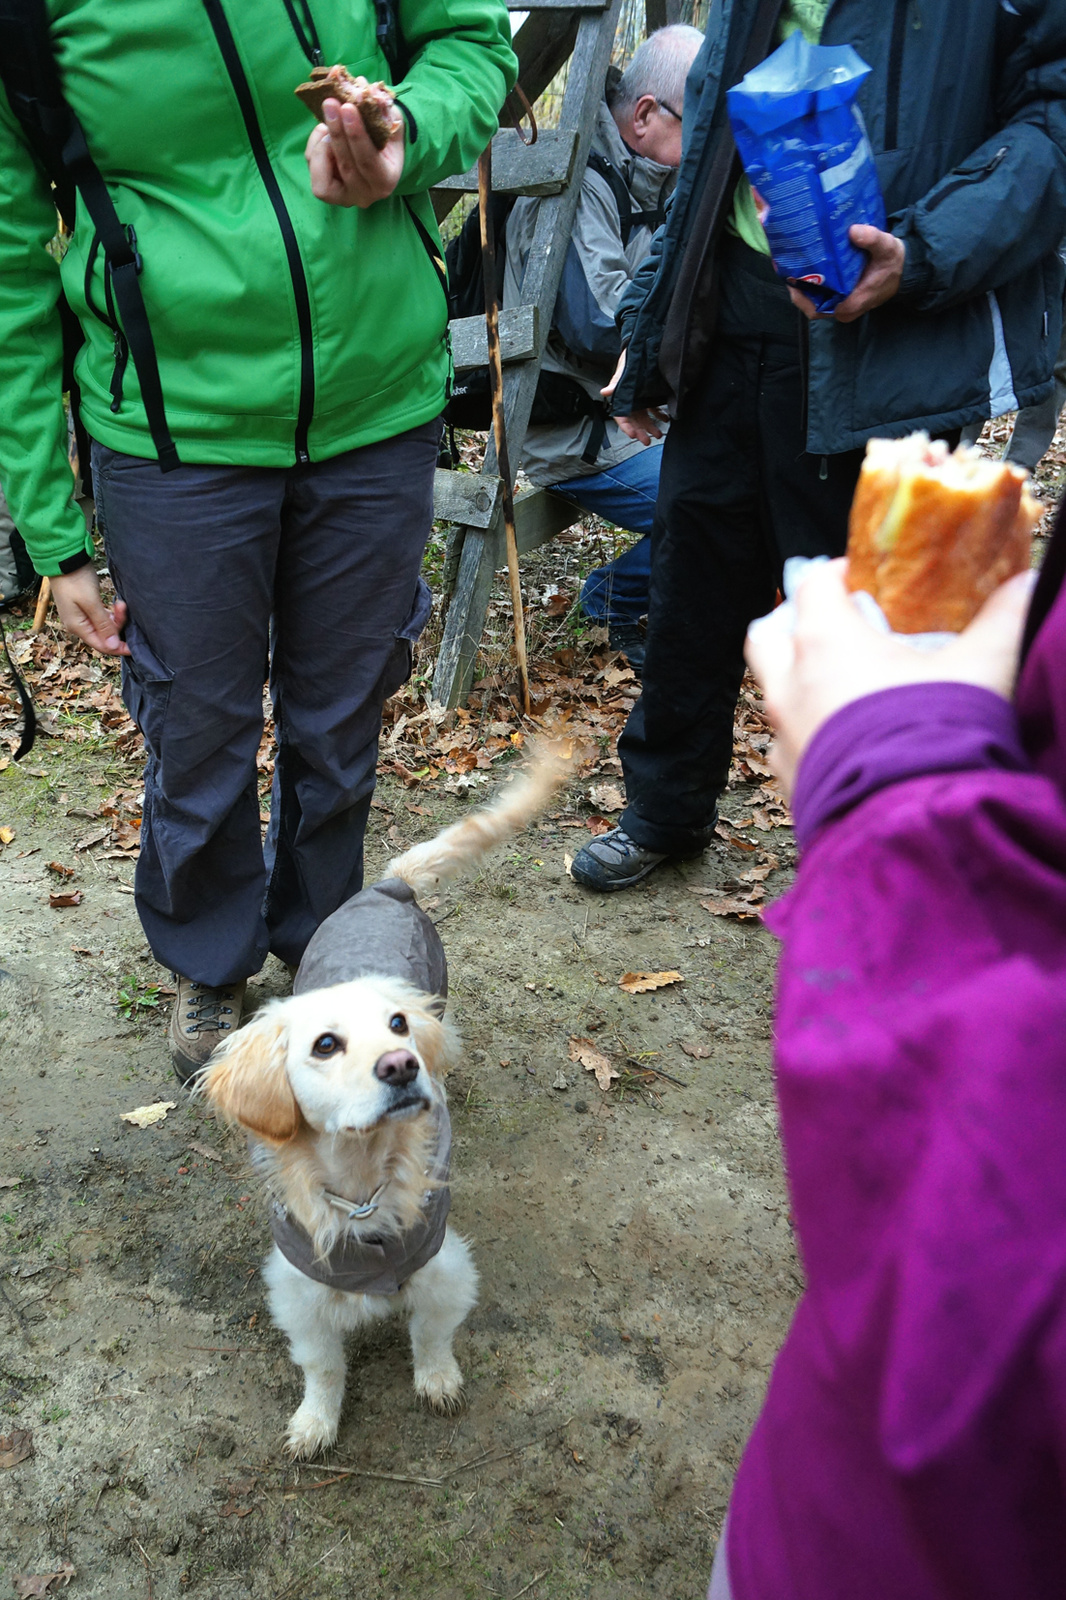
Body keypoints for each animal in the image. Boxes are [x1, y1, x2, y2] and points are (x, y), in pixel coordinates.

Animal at [202, 748, 560, 1465]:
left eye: (398, 1025)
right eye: (325, 1044)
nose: (403, 1066)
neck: (363, 1184)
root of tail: (387, 887)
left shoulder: (444, 1268)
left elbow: (432, 1336)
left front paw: (438, 1380)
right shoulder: (301, 1292)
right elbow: (323, 1366)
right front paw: (316, 1421)